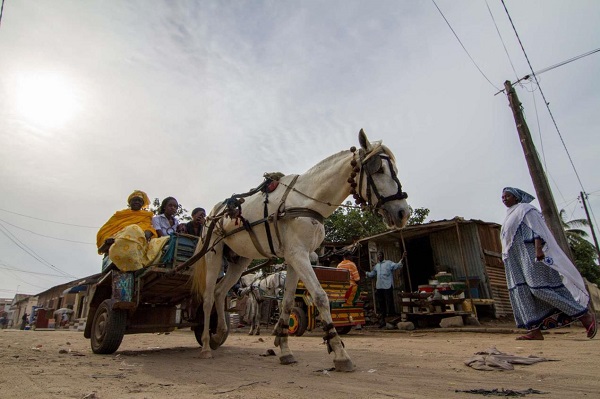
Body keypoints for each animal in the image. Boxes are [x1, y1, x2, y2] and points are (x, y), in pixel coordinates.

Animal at [195, 130, 410, 372]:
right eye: (379, 170)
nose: (403, 212)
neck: (306, 200)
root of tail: (213, 213)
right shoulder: (298, 255)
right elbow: (320, 296)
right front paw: (340, 352)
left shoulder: (294, 257)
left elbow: (287, 302)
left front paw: (285, 349)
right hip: (213, 252)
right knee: (208, 297)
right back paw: (206, 345)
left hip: (240, 260)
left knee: (220, 291)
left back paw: (219, 334)